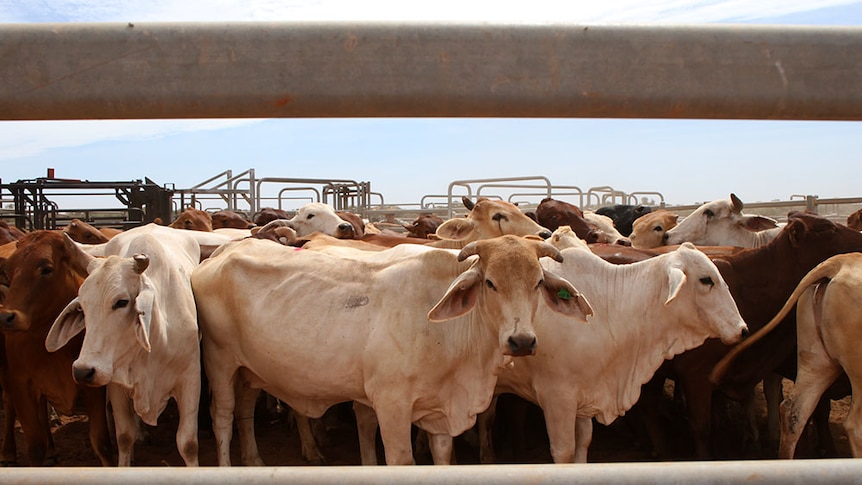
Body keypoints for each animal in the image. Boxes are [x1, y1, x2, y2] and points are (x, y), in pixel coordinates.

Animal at [0, 231, 114, 466]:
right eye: (9, 270)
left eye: (46, 268)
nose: (6, 317)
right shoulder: (21, 384)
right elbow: (35, 447)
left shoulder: (93, 386)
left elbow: (101, 442)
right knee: (9, 404)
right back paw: (8, 453)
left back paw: (52, 450)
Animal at [46, 223, 203, 466]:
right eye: (82, 306)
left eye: (121, 302)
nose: (83, 371)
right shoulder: (116, 384)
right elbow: (124, 436)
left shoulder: (191, 379)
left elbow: (188, 444)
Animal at [191, 234, 592, 466]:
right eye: (490, 283)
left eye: (538, 282)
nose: (521, 341)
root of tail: (222, 252)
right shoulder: (391, 405)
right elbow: (401, 460)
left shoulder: (439, 413)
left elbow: (443, 458)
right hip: (219, 361)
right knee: (222, 417)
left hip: (251, 370)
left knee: (244, 412)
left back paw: (254, 462)